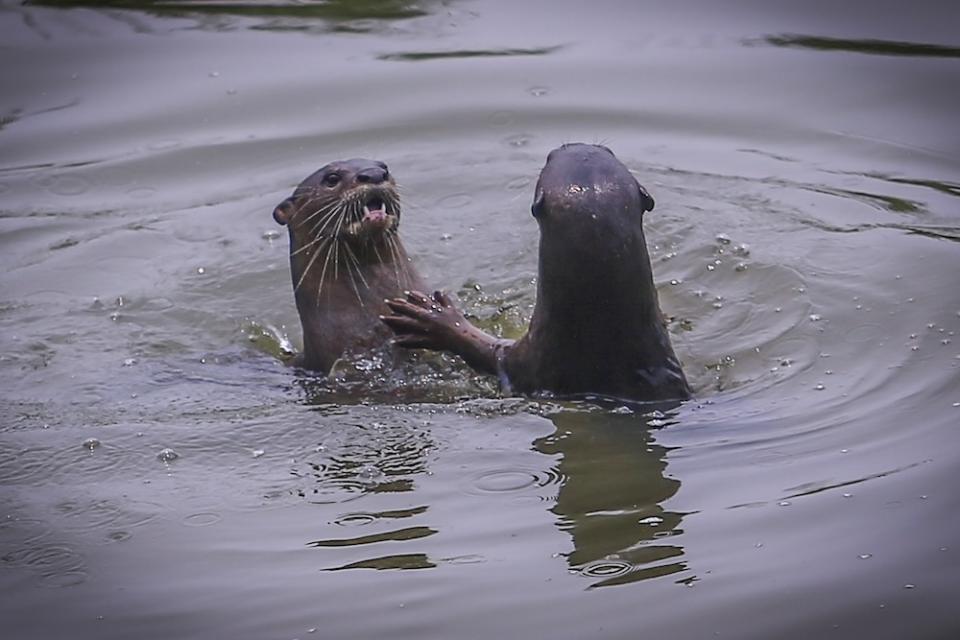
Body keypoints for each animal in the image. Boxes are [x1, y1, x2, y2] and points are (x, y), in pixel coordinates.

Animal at [382, 146, 688, 404]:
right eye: (608, 149)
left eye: (550, 157)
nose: (570, 145)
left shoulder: (527, 361)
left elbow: (484, 351)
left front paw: (435, 320)